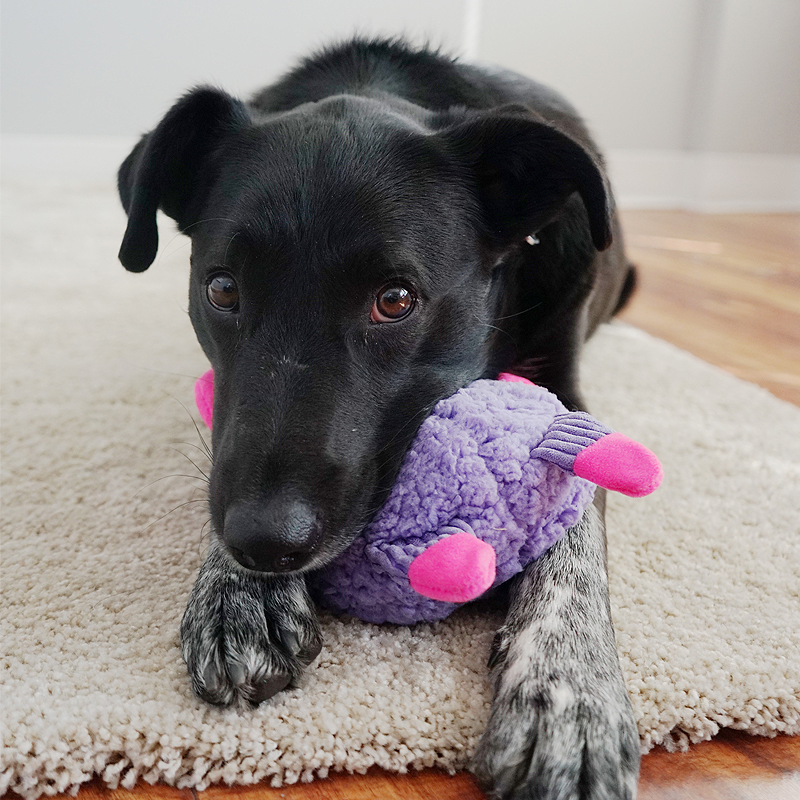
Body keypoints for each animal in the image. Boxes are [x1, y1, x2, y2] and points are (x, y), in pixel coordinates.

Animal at [117, 39, 636, 800]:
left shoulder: (567, 395)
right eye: (222, 289)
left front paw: (567, 693)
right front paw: (238, 592)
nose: (263, 545)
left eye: (395, 300)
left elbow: (573, 546)